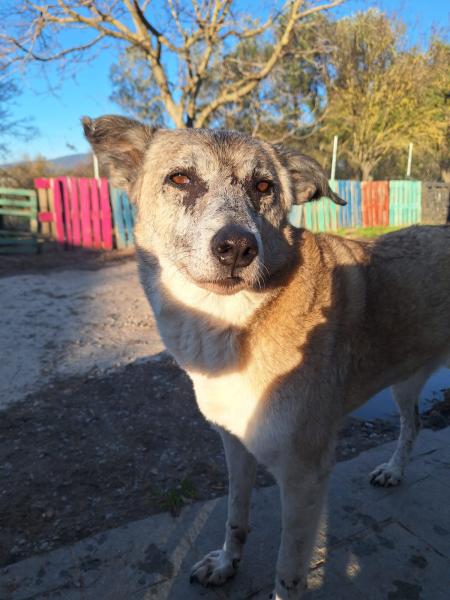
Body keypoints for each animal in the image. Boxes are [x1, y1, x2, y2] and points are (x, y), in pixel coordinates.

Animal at [83, 115, 450, 599]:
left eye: (264, 186)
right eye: (180, 178)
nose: (238, 247)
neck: (232, 324)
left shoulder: (304, 477)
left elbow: (288, 572)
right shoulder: (234, 444)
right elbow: (235, 516)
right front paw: (226, 564)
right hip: (405, 382)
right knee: (414, 424)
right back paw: (393, 470)